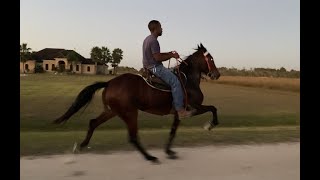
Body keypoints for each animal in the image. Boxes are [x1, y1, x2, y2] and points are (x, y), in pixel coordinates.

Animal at [53, 43, 221, 162]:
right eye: (211, 59)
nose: (217, 74)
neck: (188, 80)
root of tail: (109, 83)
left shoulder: (178, 113)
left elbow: (173, 131)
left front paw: (169, 152)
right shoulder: (193, 107)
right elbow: (213, 108)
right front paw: (210, 125)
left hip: (112, 111)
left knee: (93, 122)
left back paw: (81, 145)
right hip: (130, 112)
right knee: (132, 136)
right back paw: (150, 157)